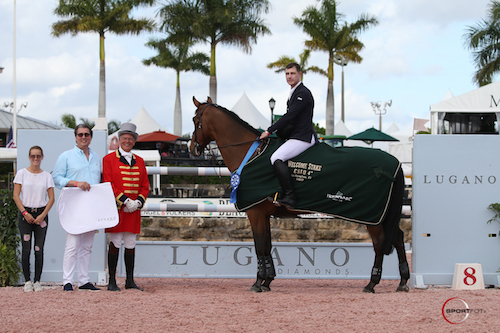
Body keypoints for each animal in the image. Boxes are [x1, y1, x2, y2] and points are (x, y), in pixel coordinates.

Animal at [189, 94, 408, 292]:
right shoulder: (264, 214)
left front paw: (258, 283)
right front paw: (268, 281)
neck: (250, 154)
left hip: (372, 216)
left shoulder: (255, 212)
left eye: (194, 120)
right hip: (383, 215)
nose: (192, 149)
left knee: (380, 243)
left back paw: (372, 284)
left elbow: (259, 246)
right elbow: (267, 245)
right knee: (397, 237)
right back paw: (403, 281)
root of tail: (394, 163)